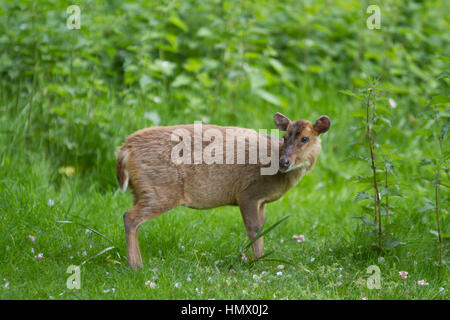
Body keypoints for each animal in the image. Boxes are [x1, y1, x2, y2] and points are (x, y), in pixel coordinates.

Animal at [116, 112, 330, 268]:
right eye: (285, 138)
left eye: (305, 139)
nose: (284, 162)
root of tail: (124, 150)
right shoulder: (247, 193)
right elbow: (253, 228)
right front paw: (259, 263)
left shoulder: (261, 201)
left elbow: (262, 228)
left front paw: (262, 259)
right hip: (162, 189)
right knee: (129, 217)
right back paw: (136, 266)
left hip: (143, 190)